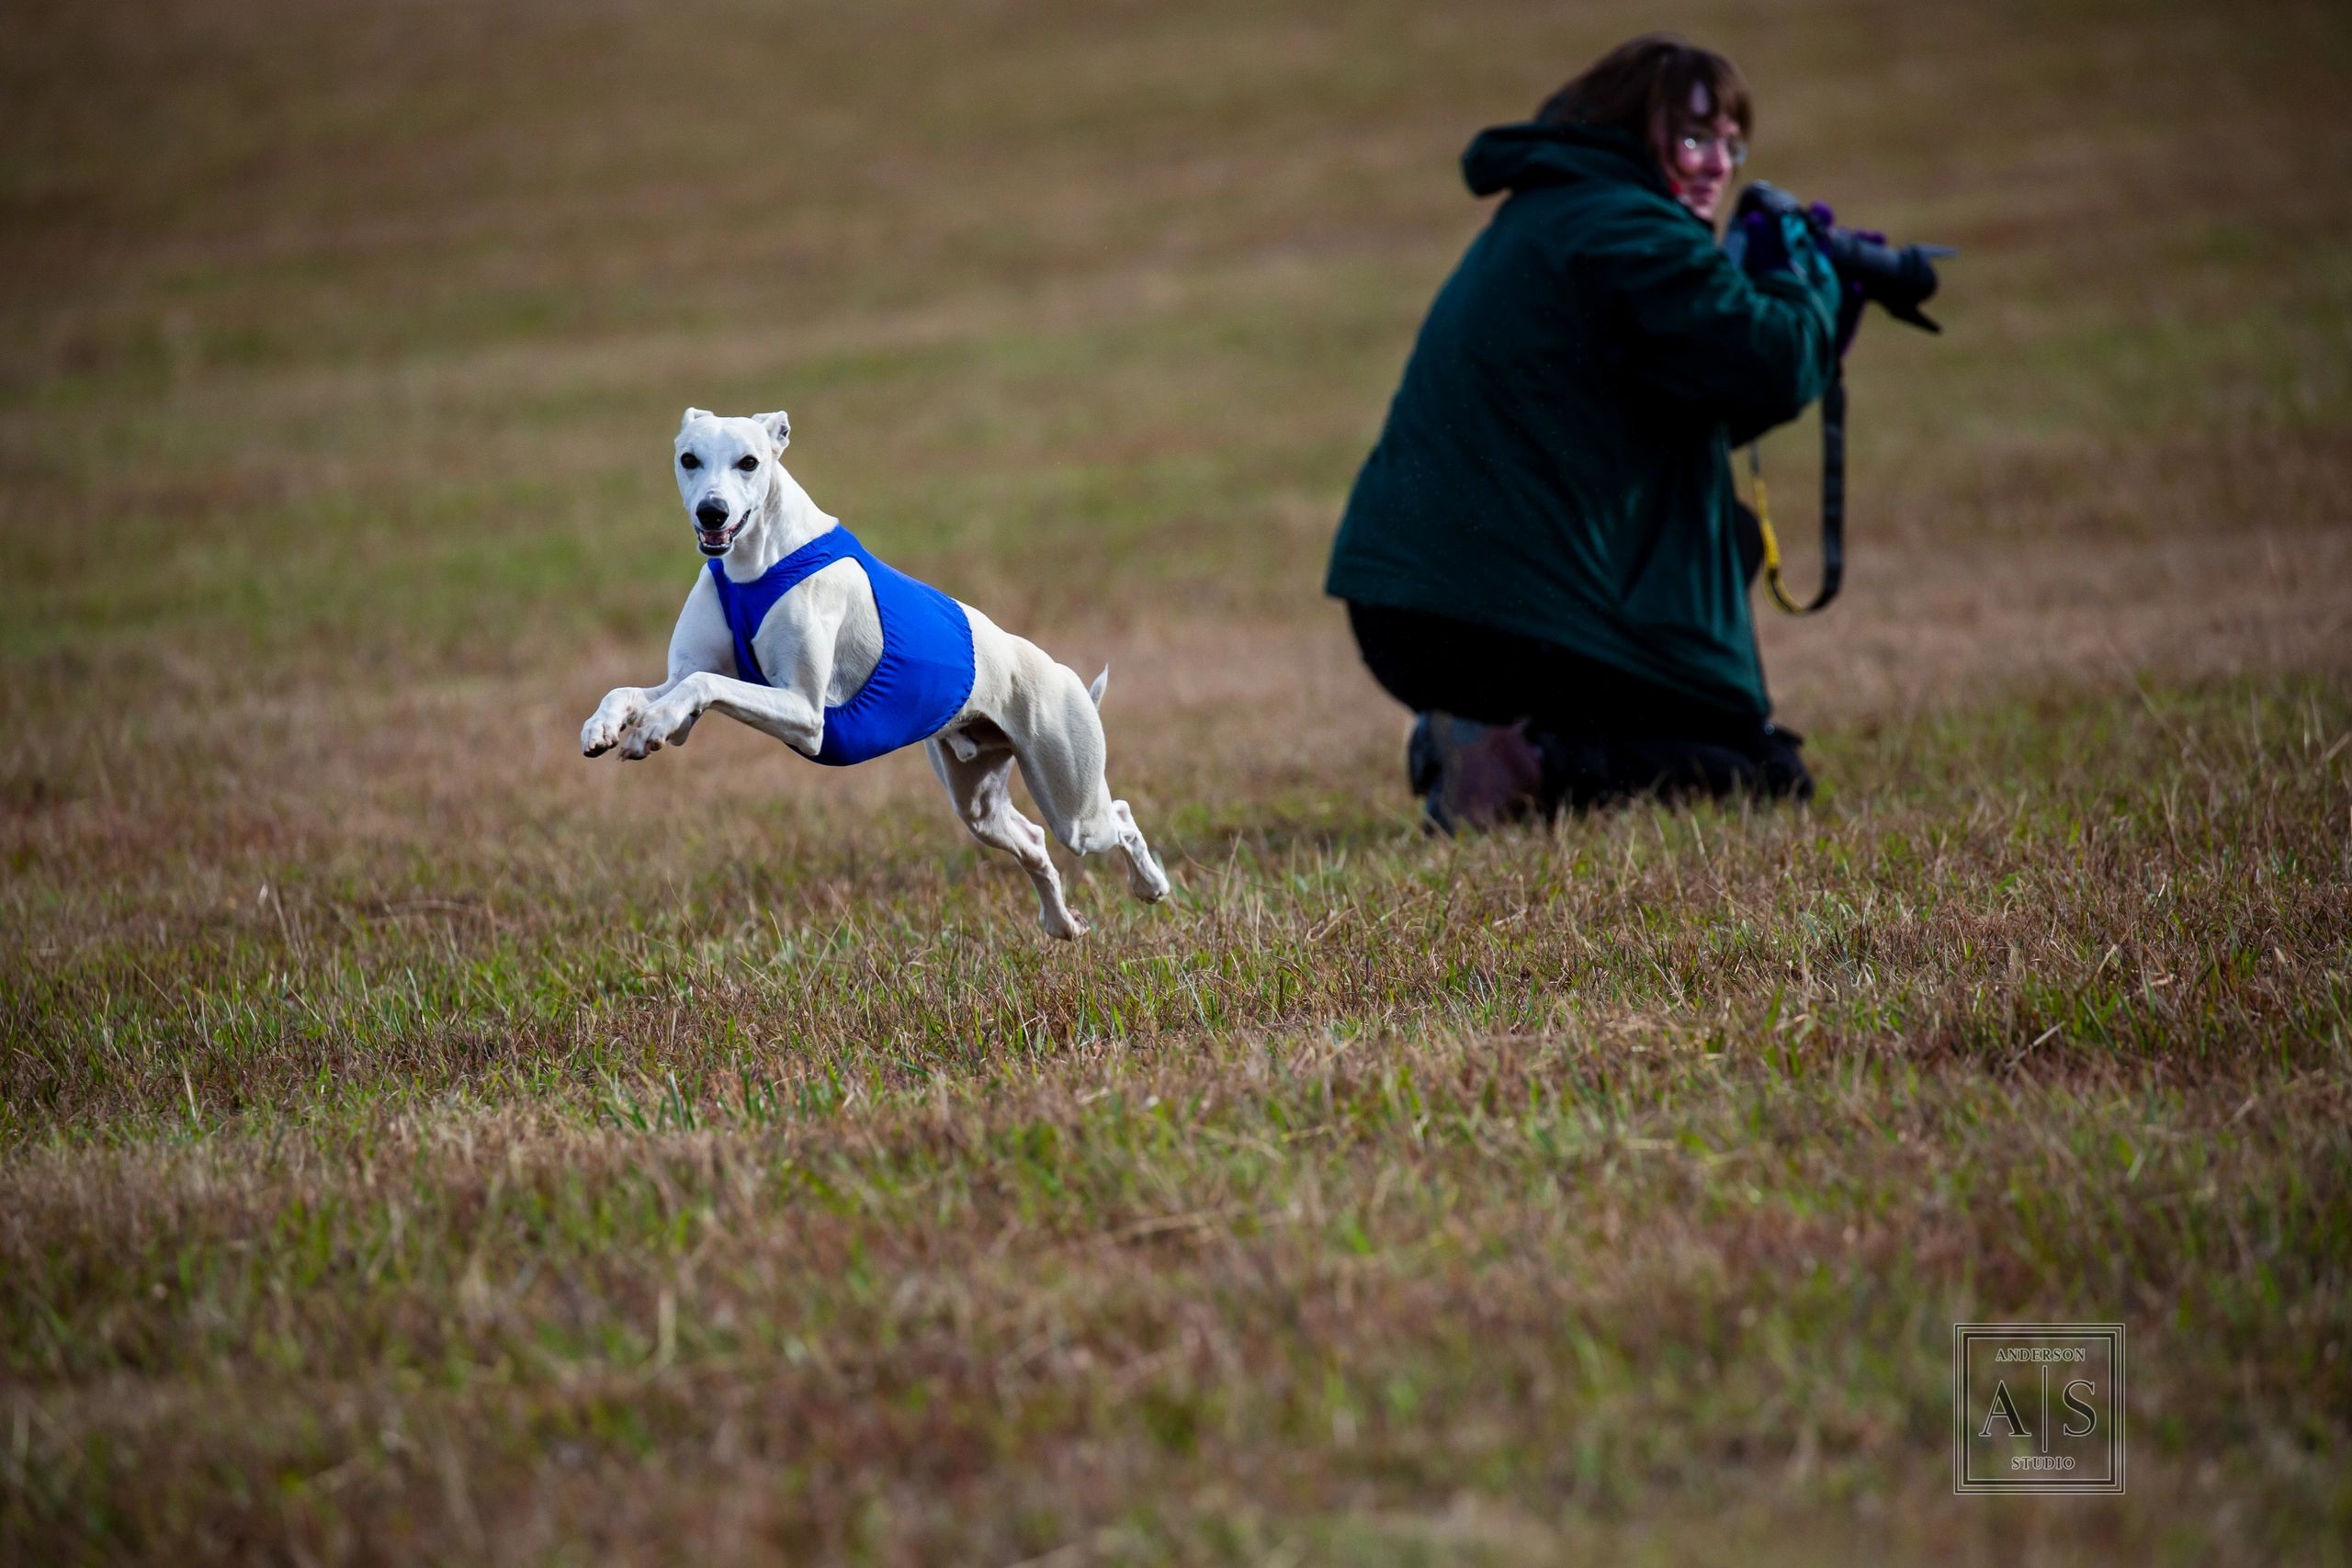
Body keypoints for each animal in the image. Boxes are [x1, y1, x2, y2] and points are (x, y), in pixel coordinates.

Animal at [578, 411, 1166, 940]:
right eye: (689, 459)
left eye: (749, 461)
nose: (712, 512)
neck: (759, 563)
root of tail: (1066, 677)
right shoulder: (685, 688)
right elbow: (641, 689)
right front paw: (606, 726)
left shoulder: (806, 713)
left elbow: (707, 685)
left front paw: (648, 727)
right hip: (979, 801)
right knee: (1034, 842)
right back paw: (1063, 923)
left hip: (1074, 800)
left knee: (1115, 816)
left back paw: (1151, 885)